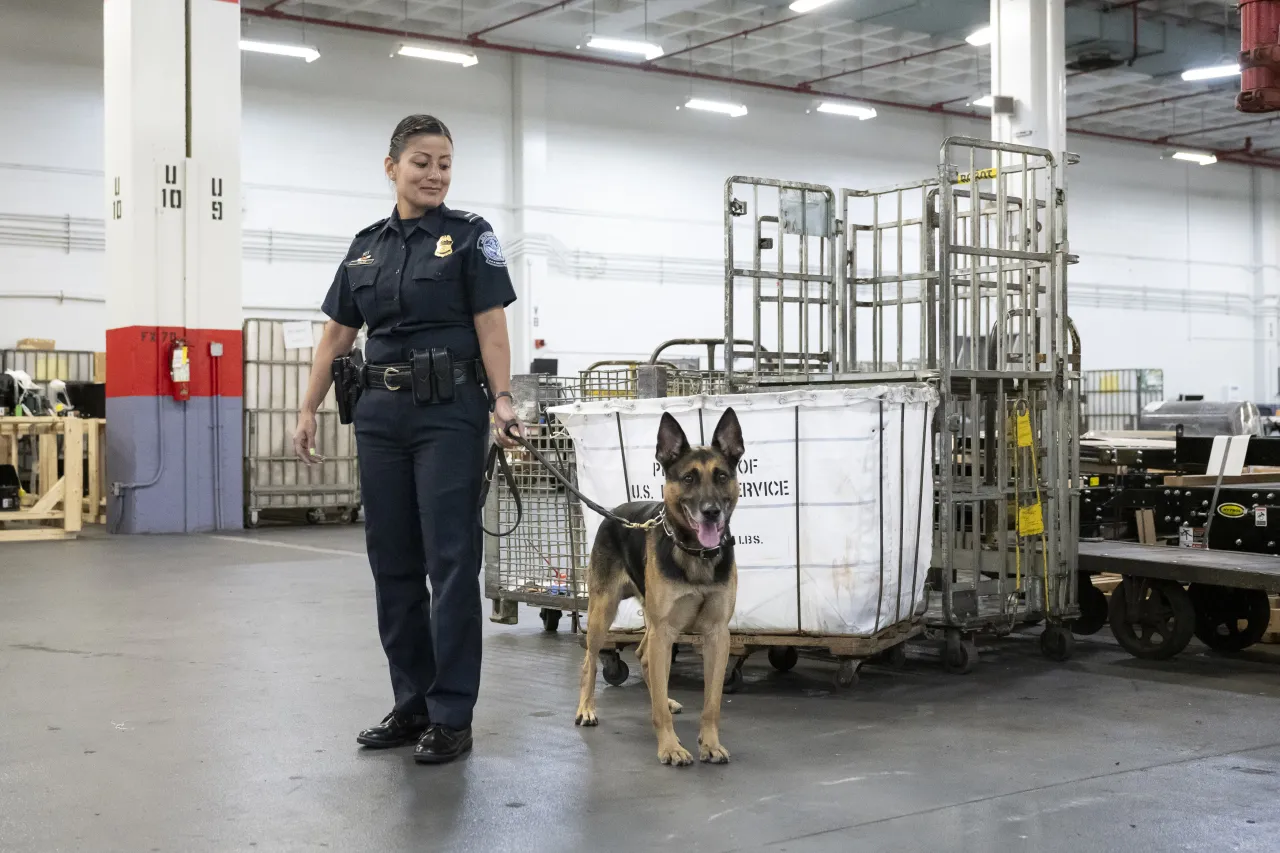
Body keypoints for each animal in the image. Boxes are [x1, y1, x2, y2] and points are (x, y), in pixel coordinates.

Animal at [576, 407, 747, 763]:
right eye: (688, 478)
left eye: (721, 476)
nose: (711, 512)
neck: (695, 553)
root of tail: (614, 513)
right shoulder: (665, 629)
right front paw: (670, 747)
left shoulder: (716, 635)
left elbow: (712, 702)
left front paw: (710, 744)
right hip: (604, 613)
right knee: (589, 662)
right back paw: (586, 708)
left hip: (655, 626)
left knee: (644, 656)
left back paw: (663, 698)